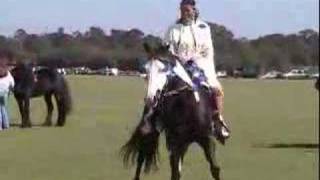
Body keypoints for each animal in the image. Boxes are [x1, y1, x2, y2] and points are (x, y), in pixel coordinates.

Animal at [121, 43, 221, 179]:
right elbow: (175, 172)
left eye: (163, 69)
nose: (151, 99)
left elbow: (215, 169)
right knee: (140, 159)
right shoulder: (174, 143)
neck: (186, 106)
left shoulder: (206, 139)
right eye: (146, 70)